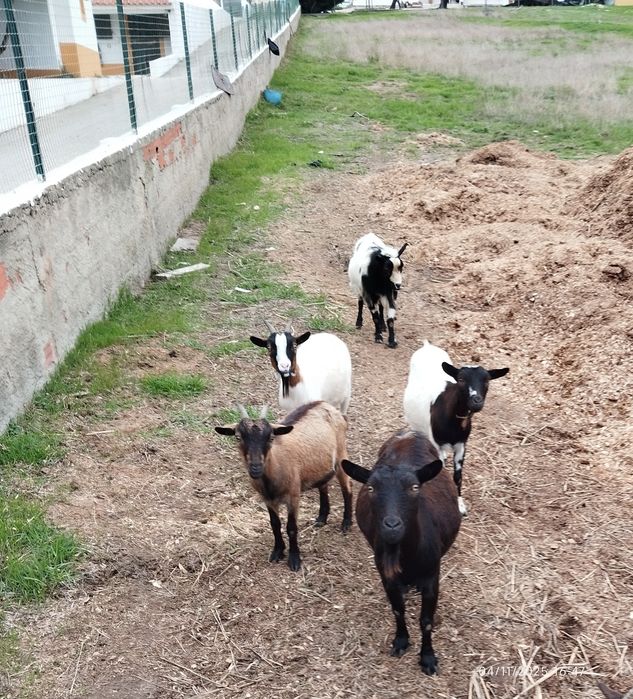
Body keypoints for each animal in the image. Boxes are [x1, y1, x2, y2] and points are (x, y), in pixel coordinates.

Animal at [215, 401, 352, 571]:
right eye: (238, 437)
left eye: (271, 437)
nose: (255, 467)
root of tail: (326, 404)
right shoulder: (267, 499)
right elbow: (275, 524)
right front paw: (277, 551)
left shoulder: (293, 496)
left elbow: (291, 527)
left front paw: (294, 559)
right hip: (321, 464)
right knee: (323, 485)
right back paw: (321, 517)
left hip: (341, 454)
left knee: (347, 486)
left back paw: (346, 522)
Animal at [342, 430, 460, 675]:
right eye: (370, 488)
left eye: (415, 487)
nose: (392, 525)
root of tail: (410, 433)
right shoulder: (386, 576)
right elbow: (397, 609)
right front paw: (401, 641)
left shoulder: (432, 575)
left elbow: (426, 620)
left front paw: (428, 658)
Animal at [403, 340, 508, 517]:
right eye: (460, 379)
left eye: (487, 380)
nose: (476, 401)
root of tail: (426, 345)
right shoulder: (437, 443)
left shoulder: (461, 445)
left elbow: (457, 476)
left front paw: (460, 505)